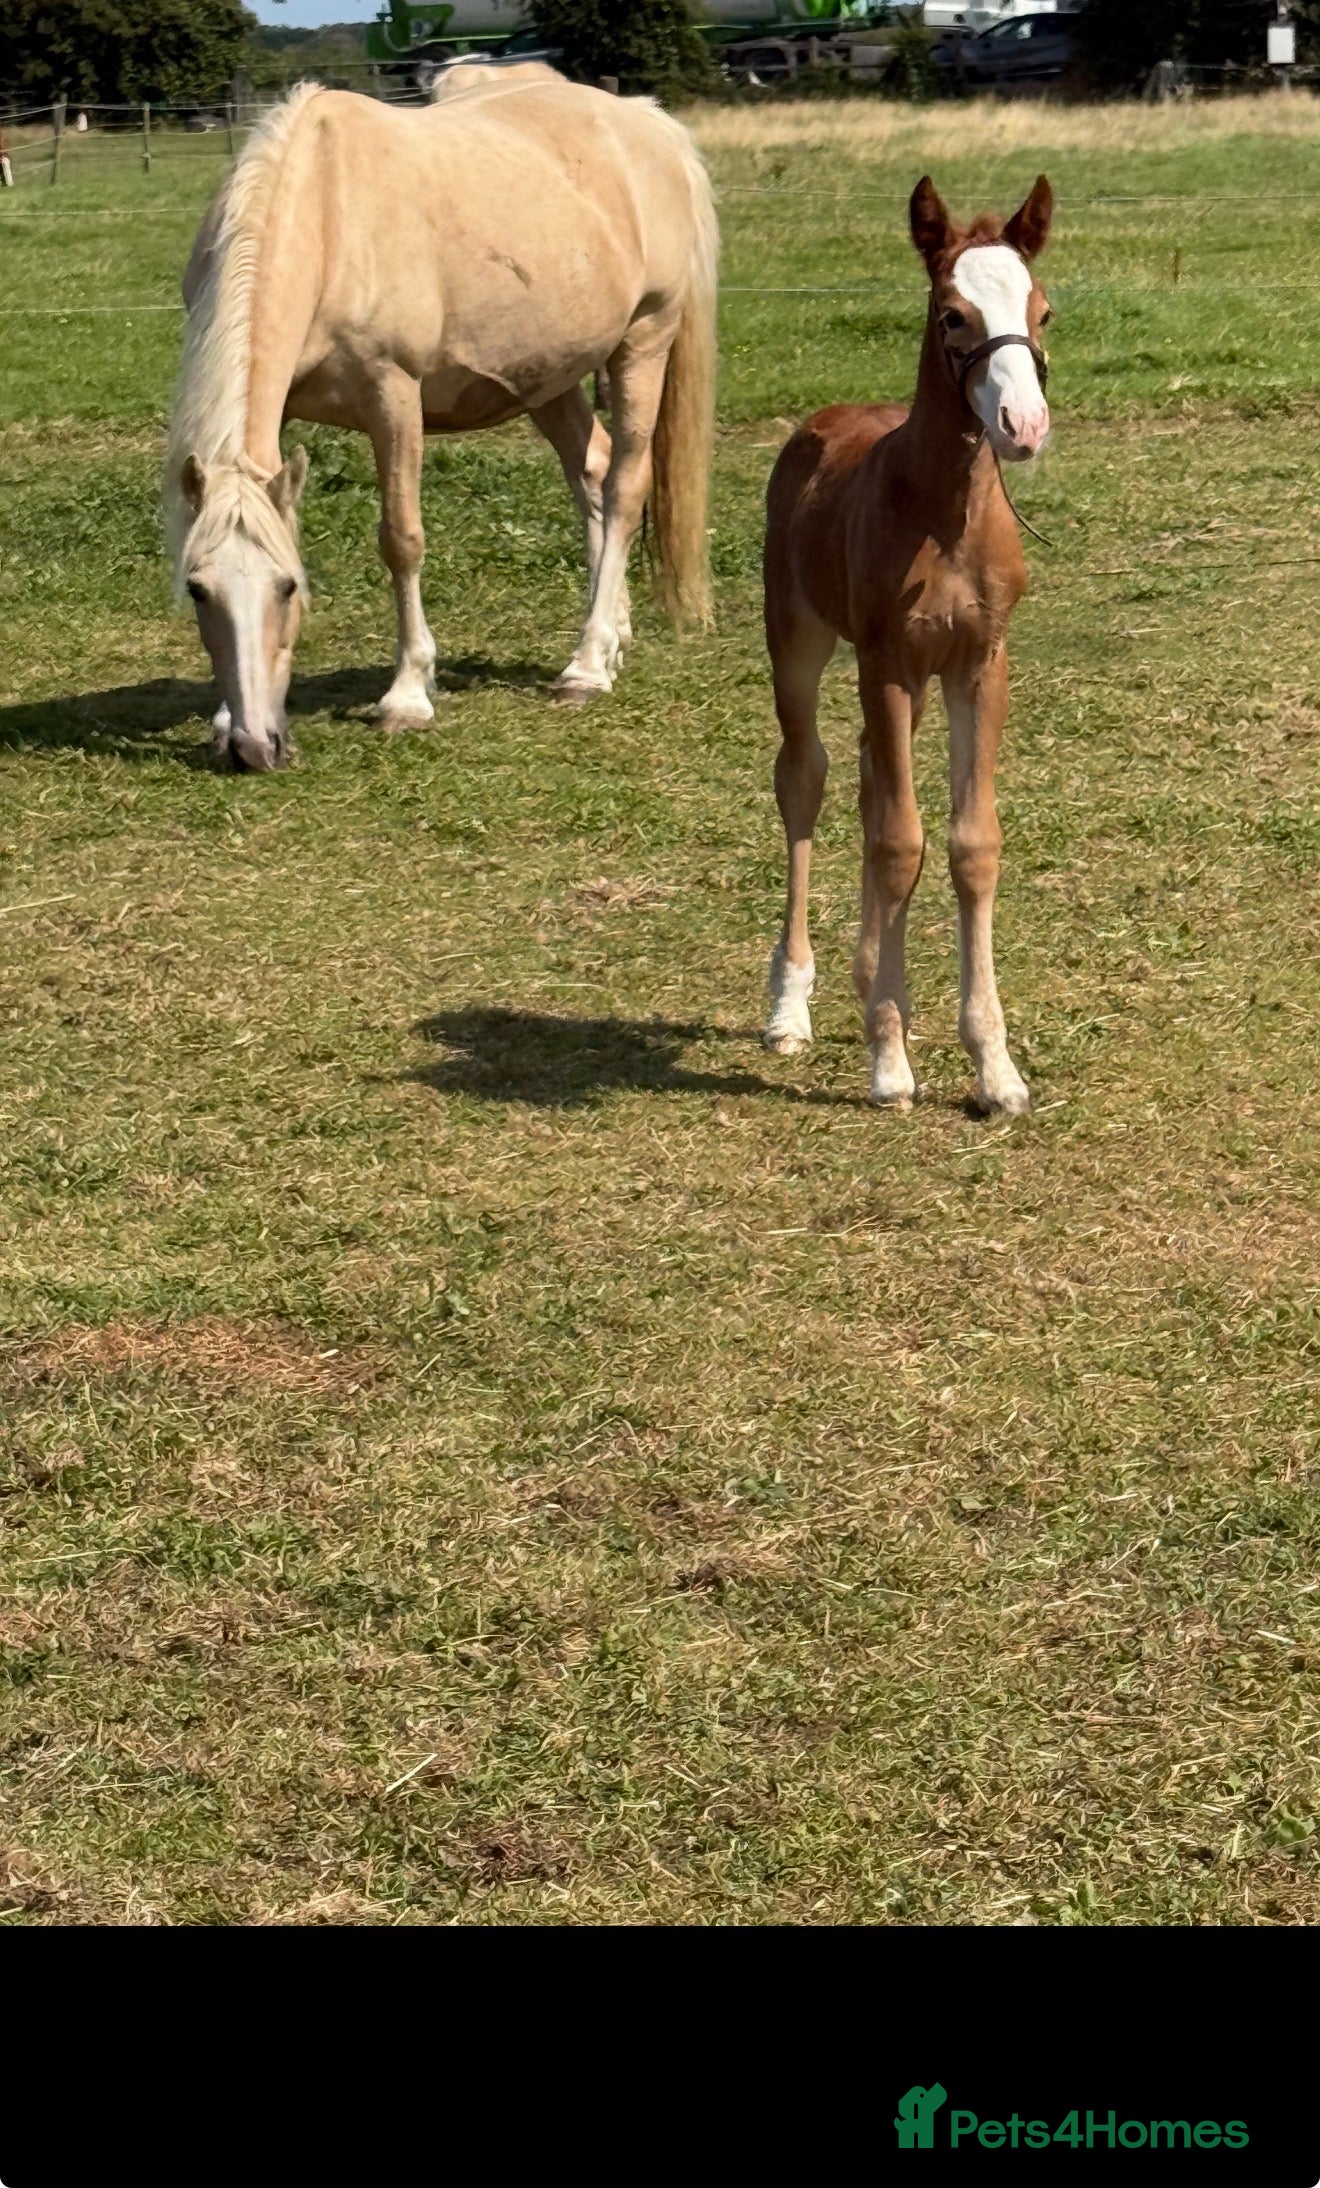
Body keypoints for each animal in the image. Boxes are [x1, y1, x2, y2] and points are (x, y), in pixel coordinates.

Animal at [165, 70, 718, 771]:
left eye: (289, 587)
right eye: (198, 591)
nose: (254, 749)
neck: (328, 218)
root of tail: (650, 122)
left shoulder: (394, 397)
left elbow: (402, 539)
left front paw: (407, 695)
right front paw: (221, 718)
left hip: (643, 342)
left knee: (623, 487)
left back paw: (588, 666)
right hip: (550, 377)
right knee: (590, 473)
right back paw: (612, 633)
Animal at [761, 173, 1053, 1117]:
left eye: (1042, 310)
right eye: (952, 315)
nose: (1022, 425)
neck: (945, 513)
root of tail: (827, 416)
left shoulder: (978, 663)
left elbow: (968, 844)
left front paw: (994, 1066)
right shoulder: (886, 662)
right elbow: (899, 844)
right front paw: (888, 1062)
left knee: (864, 781)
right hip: (799, 639)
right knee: (807, 778)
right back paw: (791, 1005)